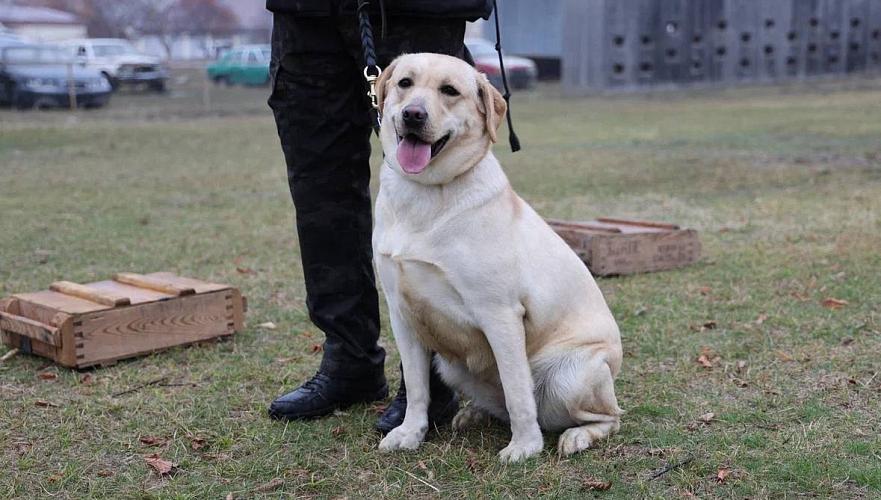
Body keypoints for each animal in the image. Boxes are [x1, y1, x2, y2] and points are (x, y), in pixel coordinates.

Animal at [374, 52, 624, 462]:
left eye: (450, 91)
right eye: (405, 83)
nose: (413, 115)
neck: (427, 193)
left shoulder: (500, 314)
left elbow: (517, 390)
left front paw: (525, 446)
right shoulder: (402, 313)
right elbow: (416, 388)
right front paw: (410, 433)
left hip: (569, 376)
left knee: (609, 416)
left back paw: (576, 436)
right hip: (451, 366)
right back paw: (473, 414)